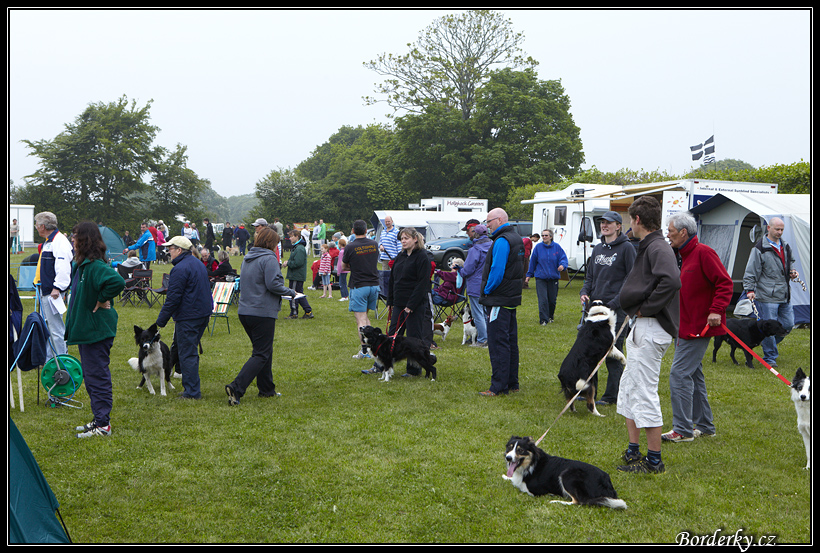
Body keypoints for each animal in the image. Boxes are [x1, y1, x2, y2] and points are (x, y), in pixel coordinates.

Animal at [500, 436, 628, 508]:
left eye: (520, 450)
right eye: (509, 448)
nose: (508, 458)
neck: (531, 463)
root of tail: (607, 481)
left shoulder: (534, 491)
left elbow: (519, 485)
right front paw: (505, 476)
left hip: (568, 474)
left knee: (578, 501)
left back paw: (556, 501)